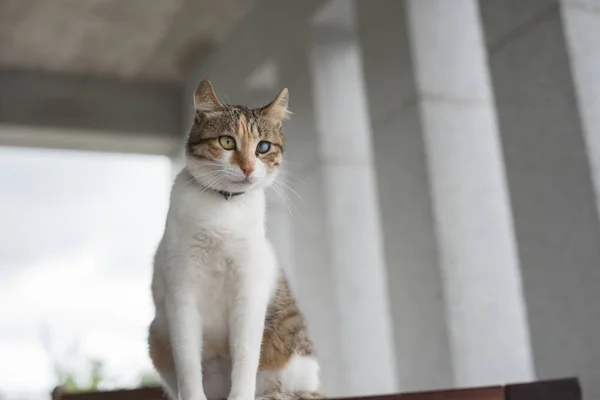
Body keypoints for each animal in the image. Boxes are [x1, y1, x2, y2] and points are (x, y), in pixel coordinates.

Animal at [148, 79, 322, 400]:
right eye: (227, 142)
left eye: (263, 147)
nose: (249, 168)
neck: (223, 209)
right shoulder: (182, 295)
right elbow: (188, 363)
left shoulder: (249, 293)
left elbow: (245, 357)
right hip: (156, 337)